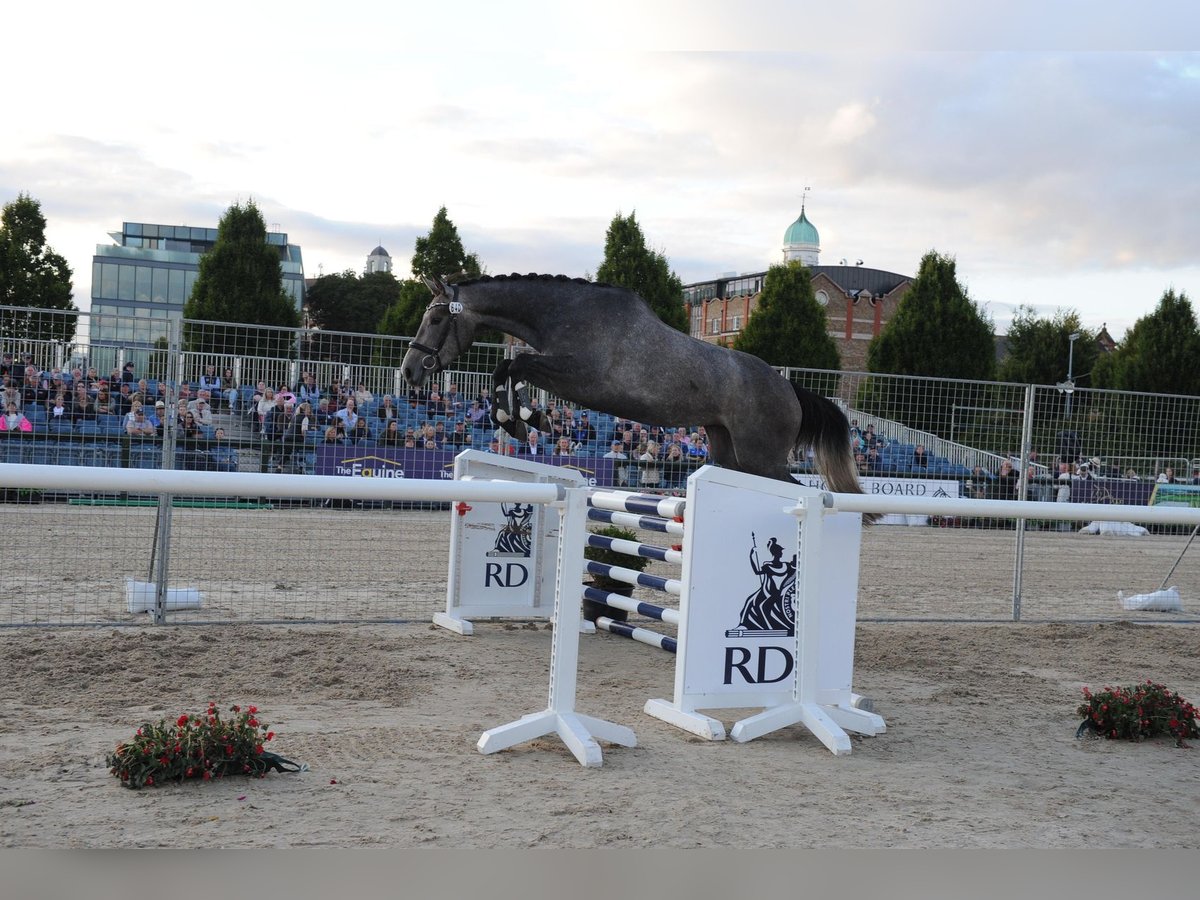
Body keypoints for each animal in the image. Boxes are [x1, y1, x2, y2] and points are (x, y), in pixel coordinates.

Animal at [403, 271, 873, 504]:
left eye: (437, 318)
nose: (409, 372)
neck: (567, 314)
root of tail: (791, 390)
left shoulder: (580, 378)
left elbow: (513, 365)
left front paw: (520, 419)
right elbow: (508, 368)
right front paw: (522, 419)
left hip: (764, 457)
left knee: (800, 491)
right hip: (730, 452)